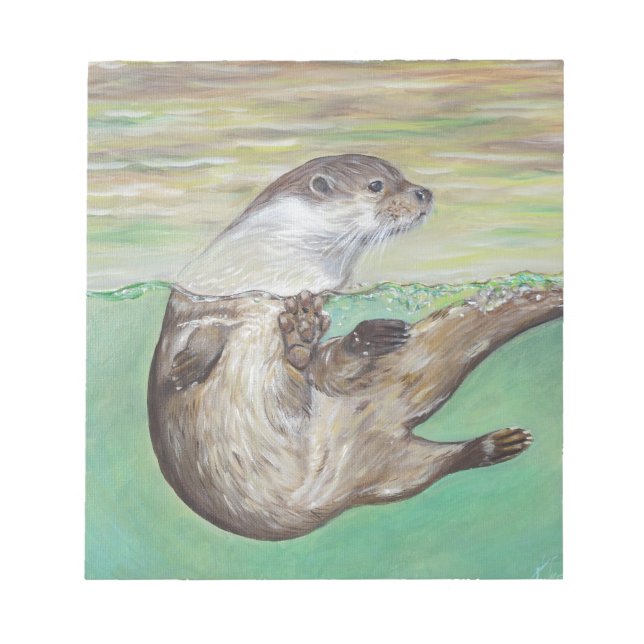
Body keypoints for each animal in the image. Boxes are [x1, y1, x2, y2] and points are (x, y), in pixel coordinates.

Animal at [148, 154, 563, 541]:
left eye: (402, 177)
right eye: (377, 185)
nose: (423, 193)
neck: (282, 269)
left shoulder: (323, 294)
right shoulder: (197, 298)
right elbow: (194, 339)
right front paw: (186, 367)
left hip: (393, 470)